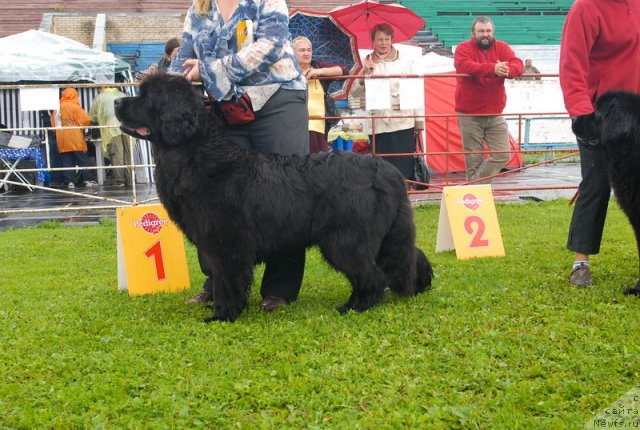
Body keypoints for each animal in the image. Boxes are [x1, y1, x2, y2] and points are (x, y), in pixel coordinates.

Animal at [115, 75, 436, 320]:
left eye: (146, 97)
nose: (117, 101)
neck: (196, 154)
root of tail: (387, 170)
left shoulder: (227, 243)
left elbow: (227, 281)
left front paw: (223, 315)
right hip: (383, 236)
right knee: (404, 259)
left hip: (345, 239)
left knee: (372, 276)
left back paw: (353, 307)